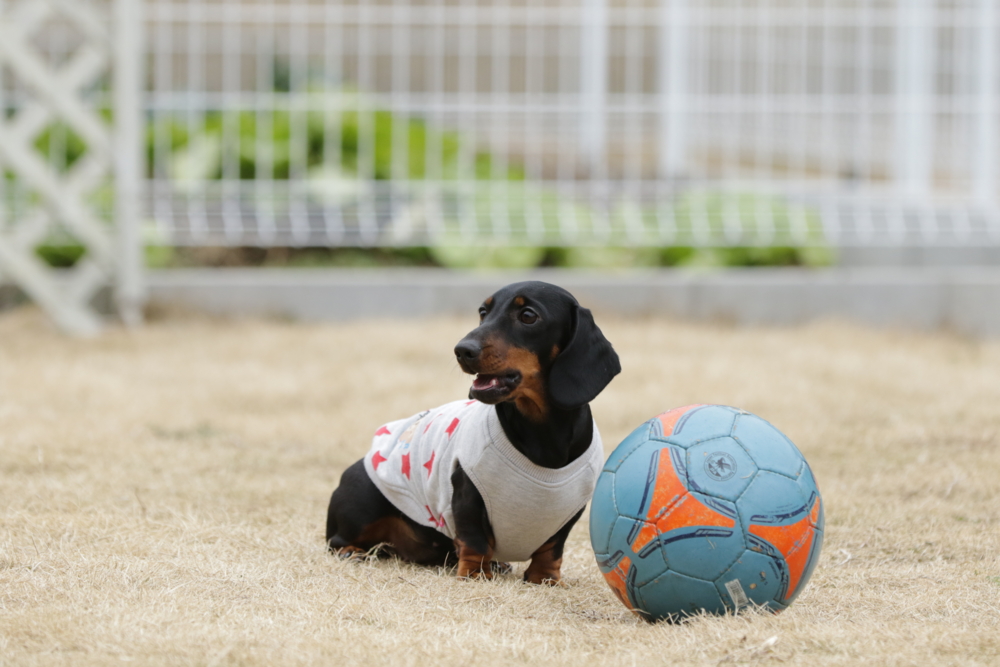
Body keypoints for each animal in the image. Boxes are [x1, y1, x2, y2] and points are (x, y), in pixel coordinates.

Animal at [324, 282, 620, 584]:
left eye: (528, 315)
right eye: (483, 312)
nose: (461, 350)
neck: (542, 435)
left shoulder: (571, 511)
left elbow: (552, 548)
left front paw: (544, 579)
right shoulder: (467, 493)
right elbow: (475, 540)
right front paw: (475, 574)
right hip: (363, 502)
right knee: (336, 540)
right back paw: (352, 551)